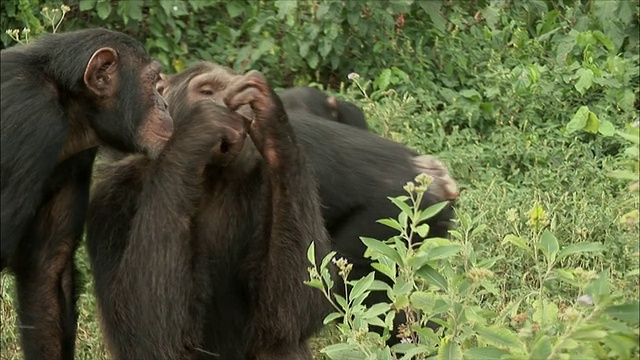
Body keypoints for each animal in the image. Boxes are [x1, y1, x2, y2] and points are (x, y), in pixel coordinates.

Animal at [0, 28, 174, 360]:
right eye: (154, 83)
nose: (165, 104)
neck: (69, 104)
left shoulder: (75, 158)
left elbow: (46, 270)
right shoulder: (32, 121)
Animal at [85, 69, 332, 358]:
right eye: (206, 90)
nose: (231, 105)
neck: (209, 176)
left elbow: (293, 311)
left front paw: (269, 112)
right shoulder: (110, 201)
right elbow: (142, 329)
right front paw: (203, 126)